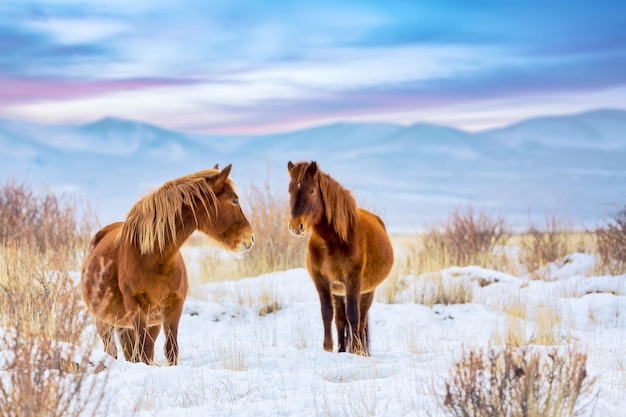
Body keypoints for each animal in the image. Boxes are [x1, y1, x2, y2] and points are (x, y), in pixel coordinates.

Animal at [81, 163, 254, 364]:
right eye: (234, 201)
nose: (250, 238)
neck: (155, 259)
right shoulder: (137, 309)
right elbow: (144, 352)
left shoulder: (173, 309)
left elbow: (170, 350)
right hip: (104, 322)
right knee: (112, 351)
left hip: (144, 325)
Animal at [286, 160, 390, 354]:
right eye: (290, 190)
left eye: (312, 190)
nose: (296, 226)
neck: (333, 241)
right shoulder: (322, 281)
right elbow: (327, 313)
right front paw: (327, 347)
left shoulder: (353, 281)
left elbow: (354, 316)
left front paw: (356, 350)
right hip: (338, 292)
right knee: (341, 320)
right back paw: (342, 349)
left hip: (367, 291)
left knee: (361, 319)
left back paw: (361, 351)